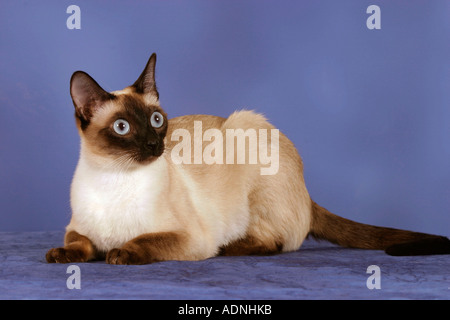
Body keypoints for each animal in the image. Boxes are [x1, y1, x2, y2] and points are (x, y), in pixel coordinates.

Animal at [46, 53, 450, 264]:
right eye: (123, 127)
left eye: (157, 121)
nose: (153, 145)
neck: (115, 177)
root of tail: (308, 192)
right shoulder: (76, 227)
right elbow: (79, 243)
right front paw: (62, 255)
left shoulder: (188, 238)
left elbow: (143, 242)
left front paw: (118, 253)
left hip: (249, 134)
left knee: (275, 242)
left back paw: (231, 248)